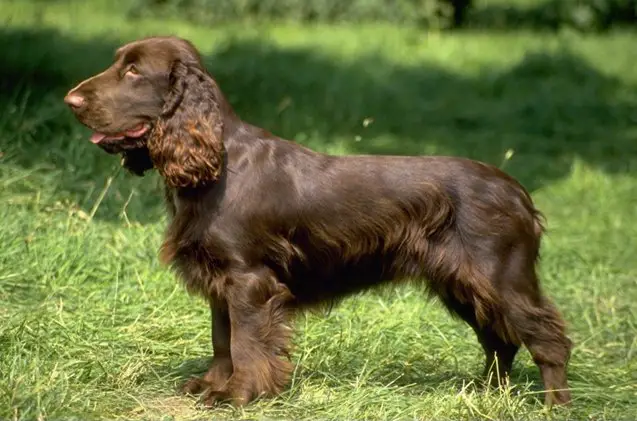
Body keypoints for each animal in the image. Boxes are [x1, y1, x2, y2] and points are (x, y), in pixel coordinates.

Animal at [64, 35, 572, 406]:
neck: (218, 163)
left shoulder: (249, 279)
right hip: (462, 283)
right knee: (499, 340)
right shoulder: (219, 279)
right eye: (118, 64)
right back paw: (487, 396)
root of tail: (519, 193)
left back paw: (553, 405)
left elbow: (245, 342)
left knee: (547, 338)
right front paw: (212, 386)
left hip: (500, 277)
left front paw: (239, 394)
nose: (70, 100)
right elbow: (221, 338)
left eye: (133, 71)